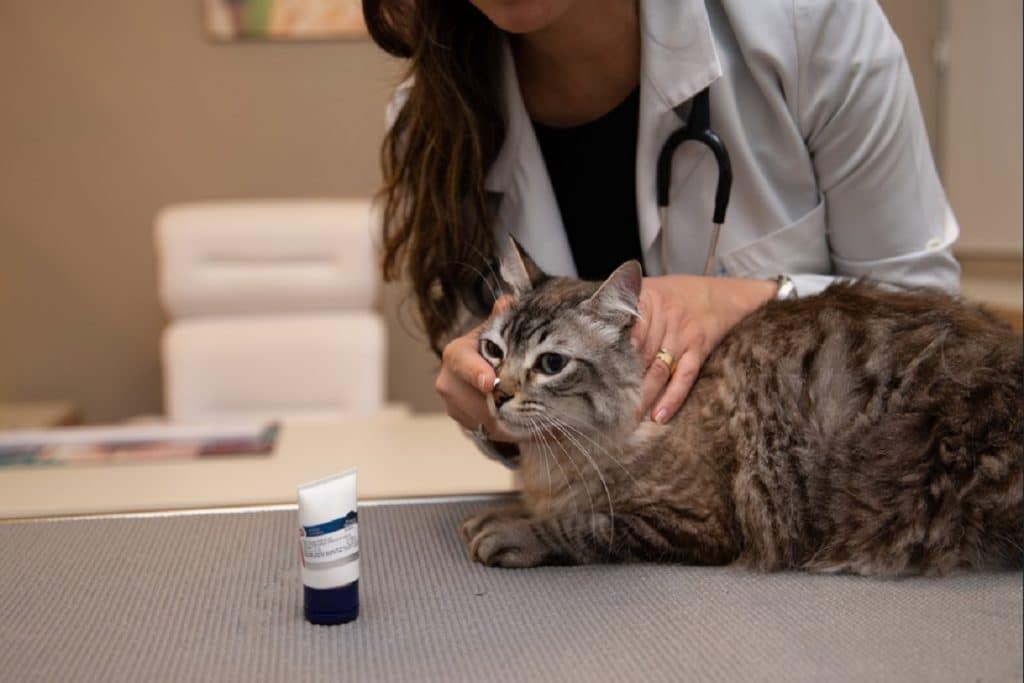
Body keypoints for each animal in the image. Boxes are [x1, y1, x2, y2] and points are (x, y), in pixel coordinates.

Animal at [460, 242, 1019, 573]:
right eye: (493, 351)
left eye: (551, 363)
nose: (498, 392)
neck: (553, 460)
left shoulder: (696, 523)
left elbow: (586, 524)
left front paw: (510, 530)